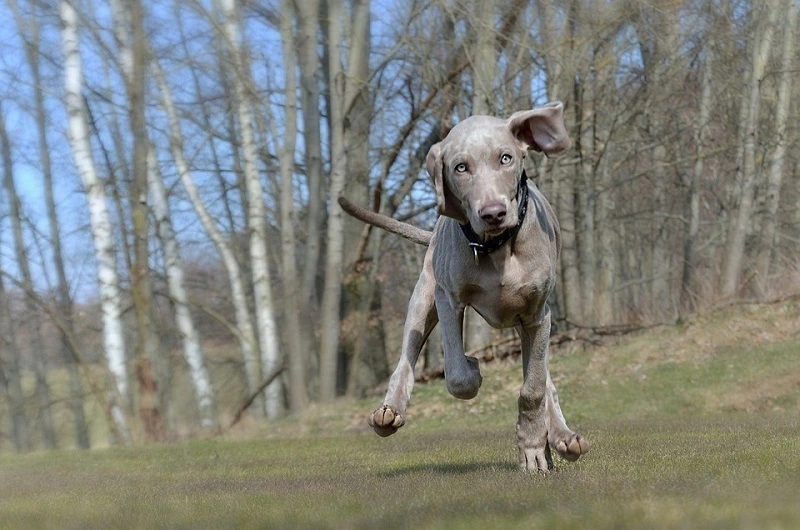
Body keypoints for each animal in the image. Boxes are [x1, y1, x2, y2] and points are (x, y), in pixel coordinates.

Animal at [336, 100, 588, 470]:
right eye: (460, 167)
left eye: (505, 158)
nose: (493, 213)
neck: (496, 248)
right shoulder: (448, 298)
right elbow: (457, 375)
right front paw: (473, 367)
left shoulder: (538, 314)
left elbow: (534, 388)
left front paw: (533, 445)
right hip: (423, 299)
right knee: (405, 361)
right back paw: (389, 412)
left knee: (544, 380)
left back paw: (560, 437)